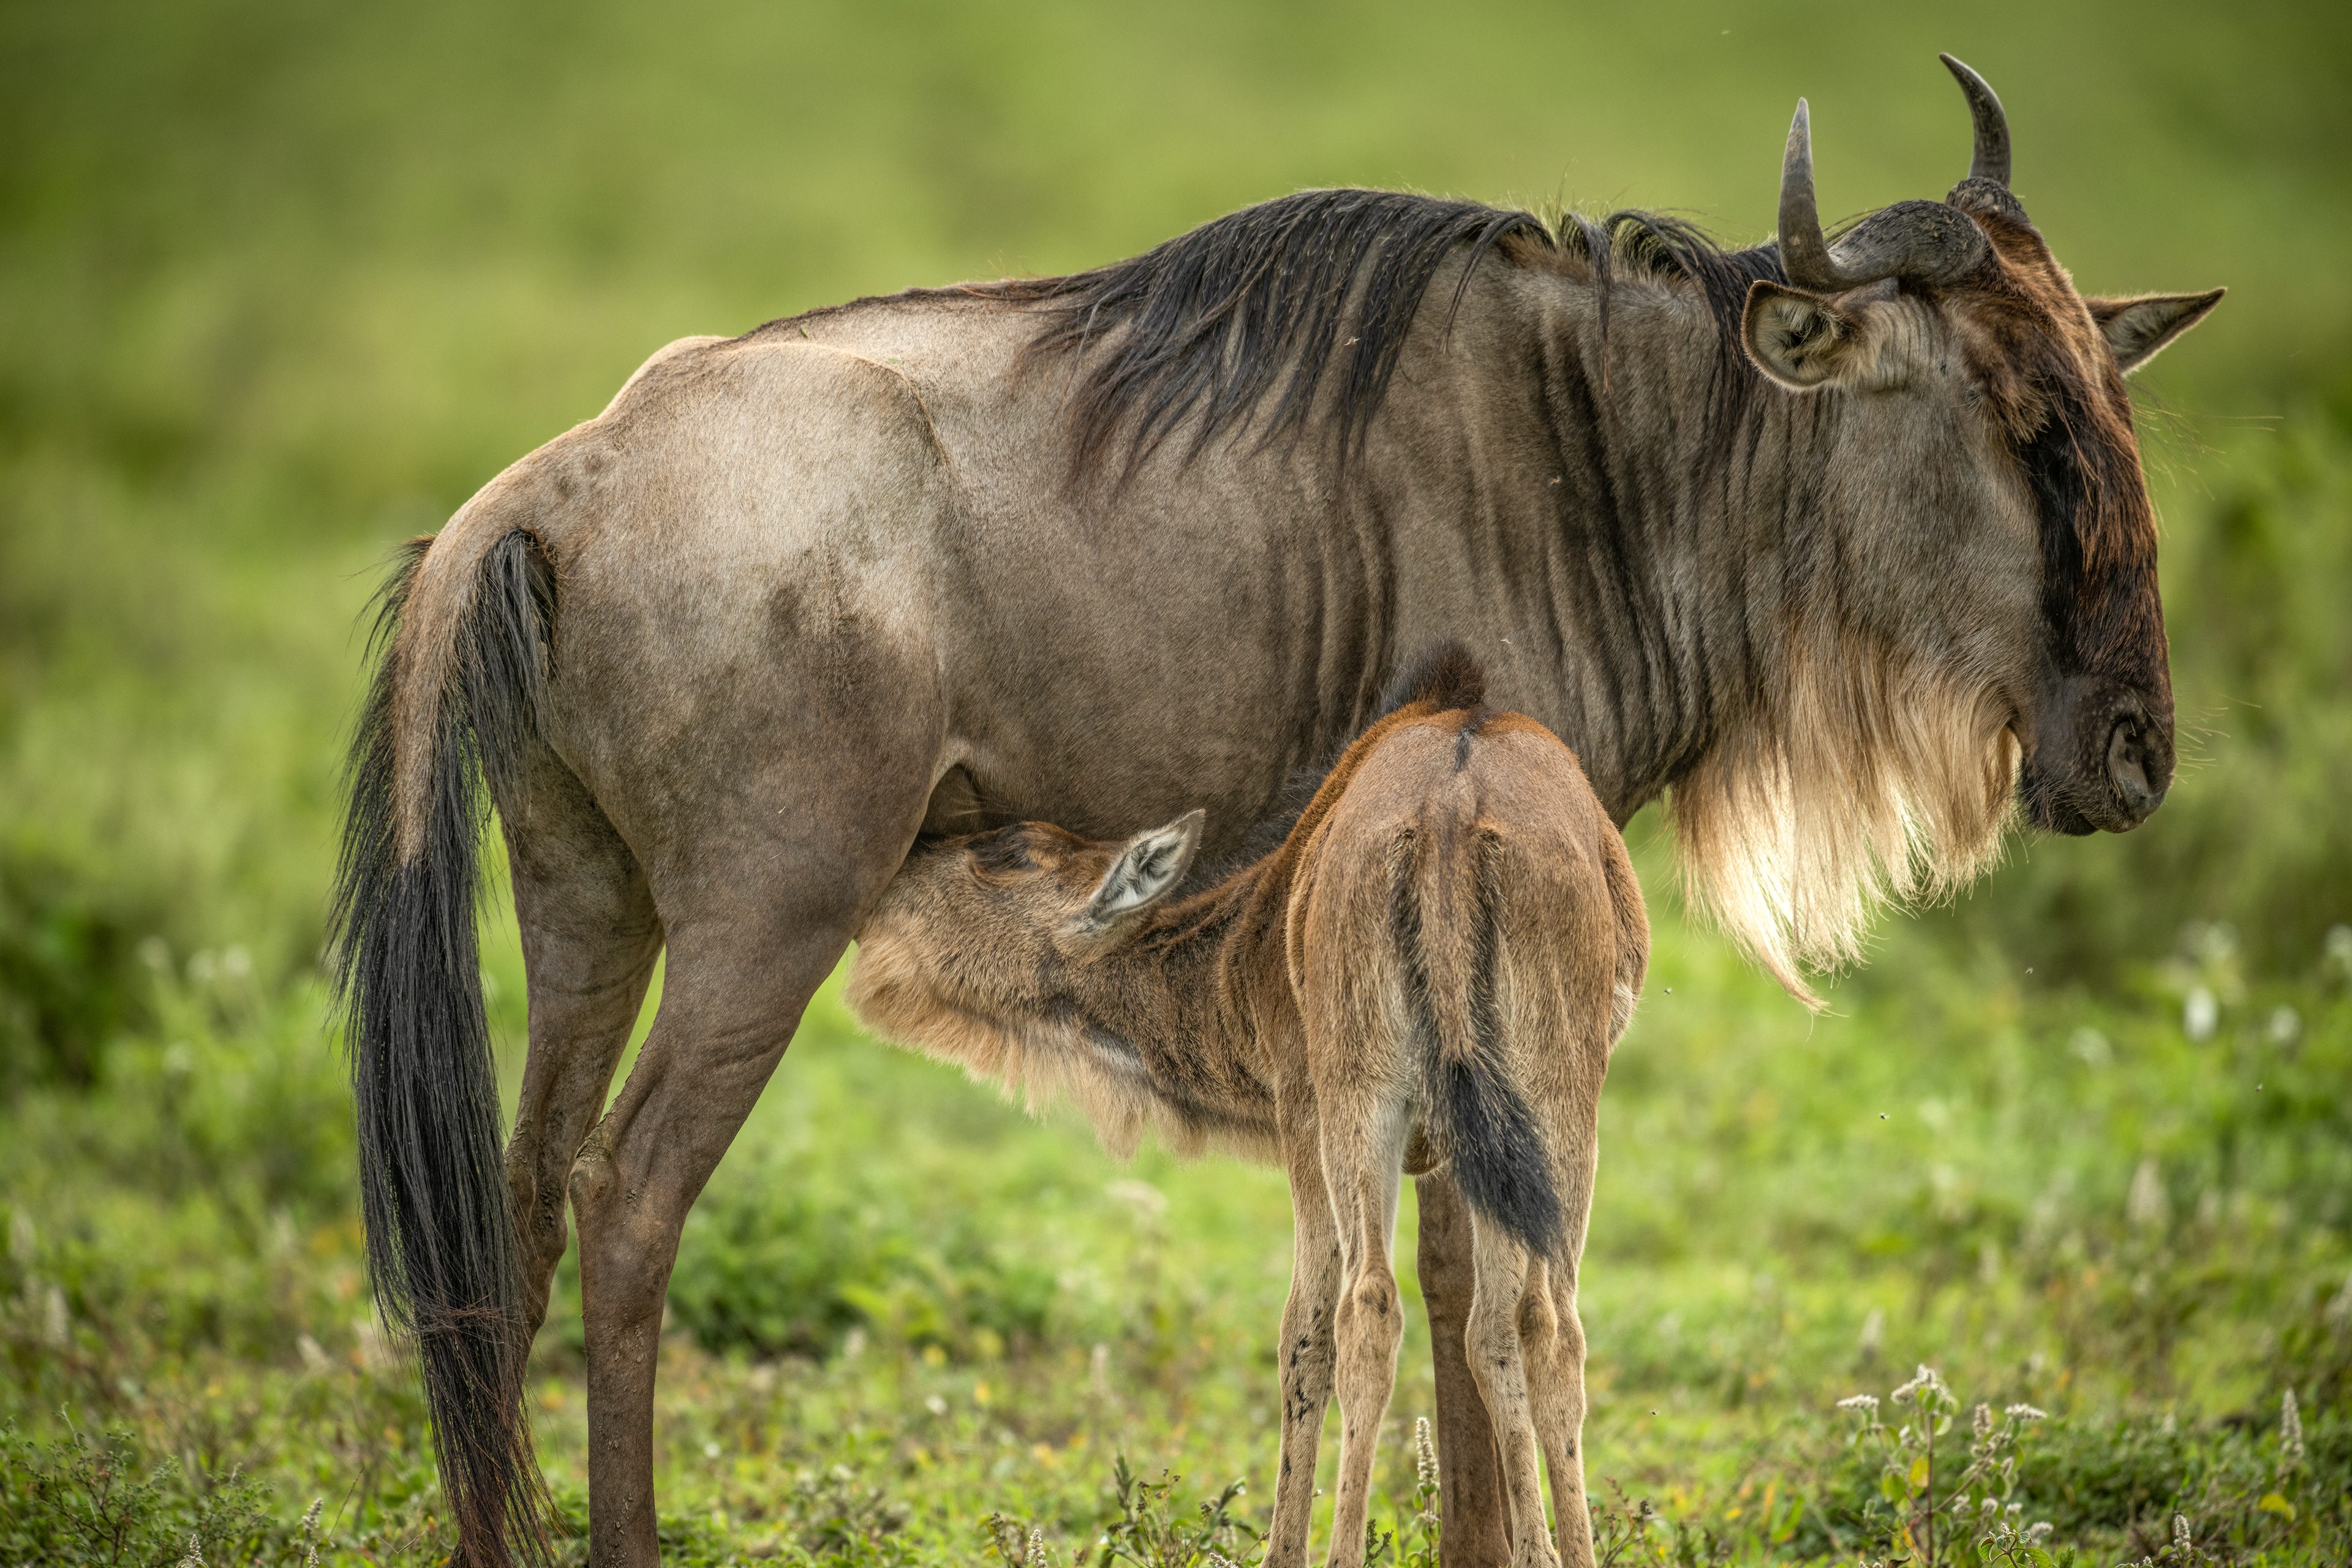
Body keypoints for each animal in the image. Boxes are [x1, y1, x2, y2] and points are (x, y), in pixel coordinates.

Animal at [846, 644, 1648, 1568]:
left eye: (1005, 851)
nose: (884, 885)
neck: (1251, 938)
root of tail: (1449, 819)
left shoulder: (1304, 1115)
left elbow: (1305, 1336)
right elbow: (1485, 1332)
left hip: (1376, 1102)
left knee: (1374, 1313)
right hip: (1538, 1102)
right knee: (1536, 1323)